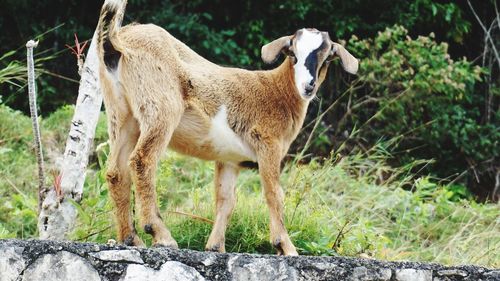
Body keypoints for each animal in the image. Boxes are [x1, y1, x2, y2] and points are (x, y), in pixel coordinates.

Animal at [95, 0, 358, 255]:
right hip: (161, 105)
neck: (278, 91)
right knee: (142, 160)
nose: (308, 86)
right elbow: (274, 194)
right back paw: (161, 235)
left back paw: (131, 239)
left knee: (116, 171)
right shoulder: (267, 143)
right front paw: (286, 247)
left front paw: (215, 247)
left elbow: (226, 199)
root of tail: (118, 40)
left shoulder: (230, 159)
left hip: (122, 112)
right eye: (292, 53)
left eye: (327, 58)